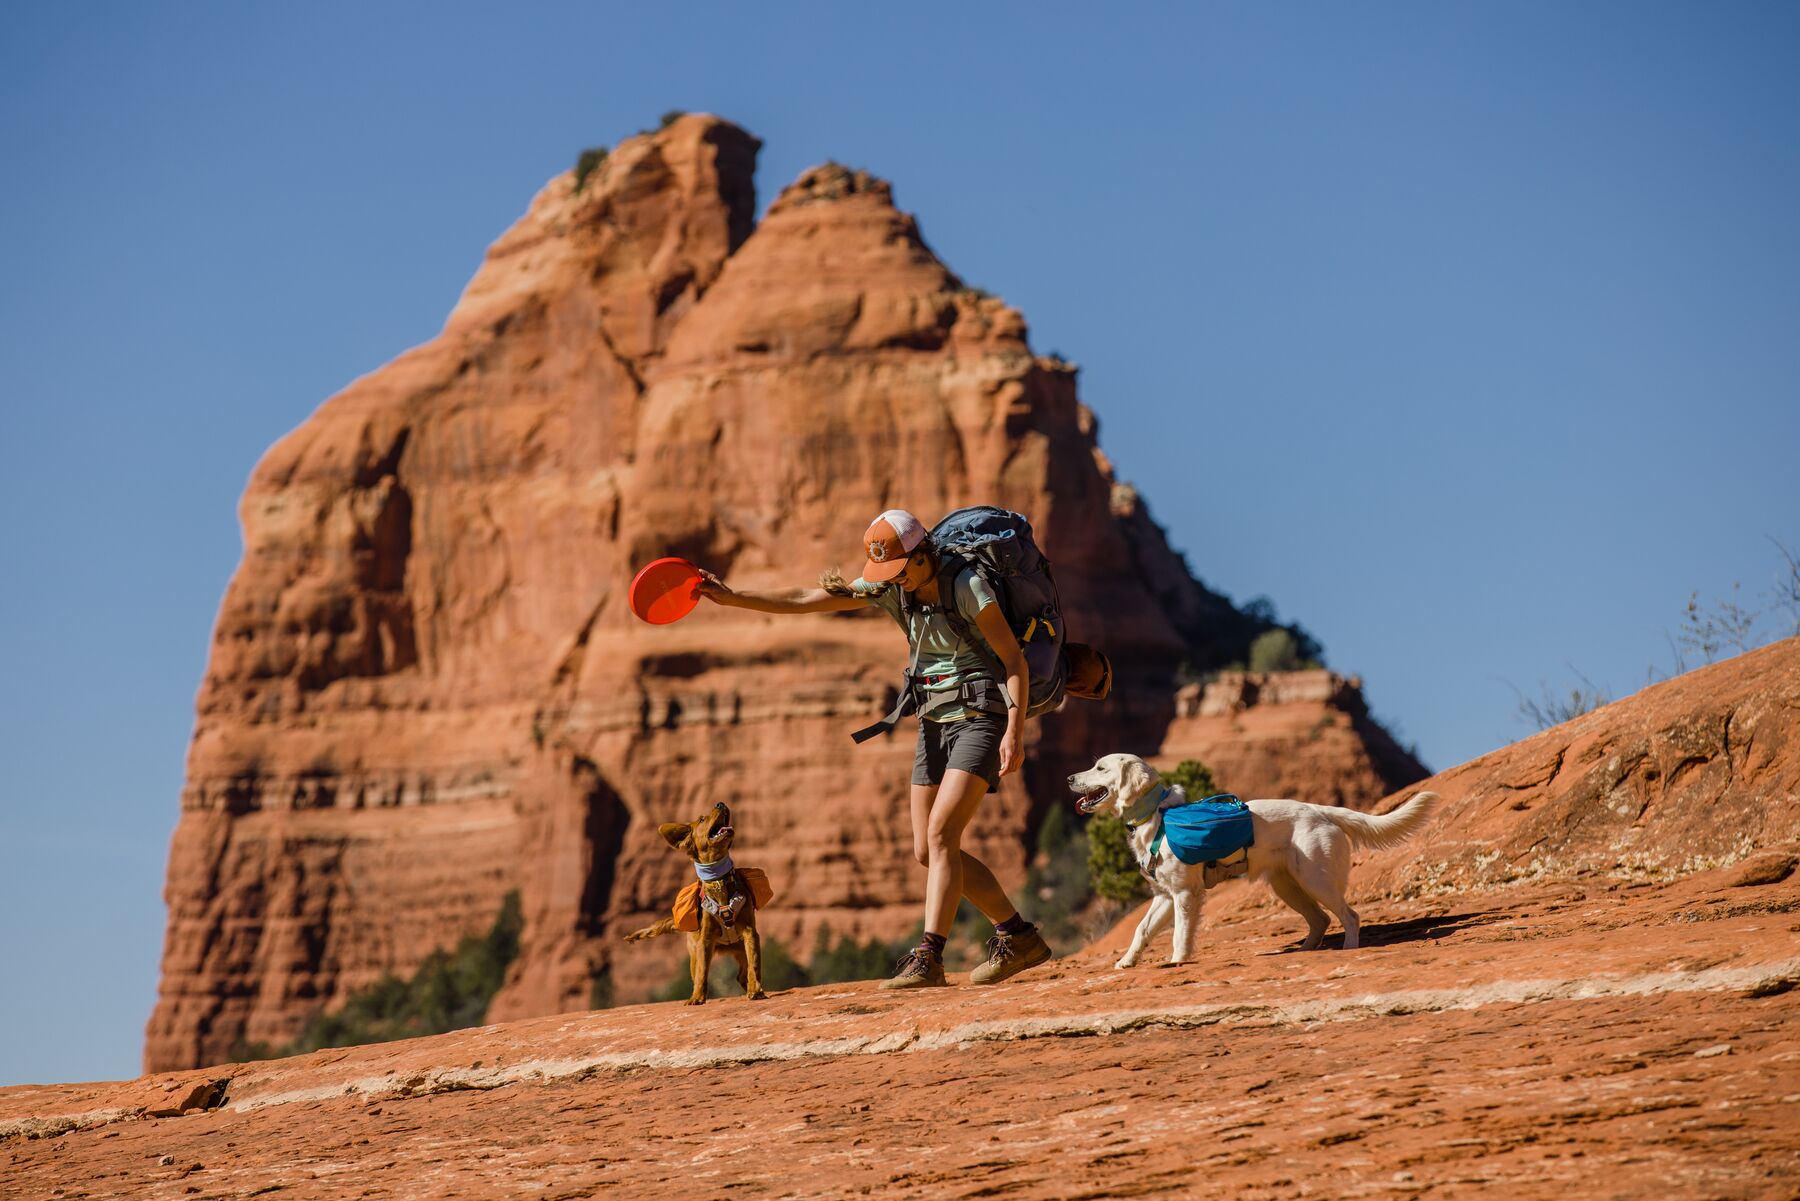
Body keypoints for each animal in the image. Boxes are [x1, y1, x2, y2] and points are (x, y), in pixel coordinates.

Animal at [622, 806, 770, 1008]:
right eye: (701, 819)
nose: (721, 804)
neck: (719, 882)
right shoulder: (705, 940)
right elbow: (702, 973)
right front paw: (697, 998)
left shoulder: (749, 932)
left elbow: (754, 964)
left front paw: (756, 990)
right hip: (694, 951)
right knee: (704, 971)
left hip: (739, 948)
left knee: (743, 973)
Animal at [1072, 752, 1440, 965]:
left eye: (1100, 768)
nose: (1069, 778)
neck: (1155, 815)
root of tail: (1321, 810)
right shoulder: (1164, 895)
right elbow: (1141, 930)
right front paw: (1127, 962)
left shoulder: (1186, 894)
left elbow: (1180, 933)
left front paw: (1178, 960)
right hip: (1287, 885)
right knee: (1321, 920)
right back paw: (1305, 951)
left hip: (1316, 880)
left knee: (1349, 915)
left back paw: (1349, 948)